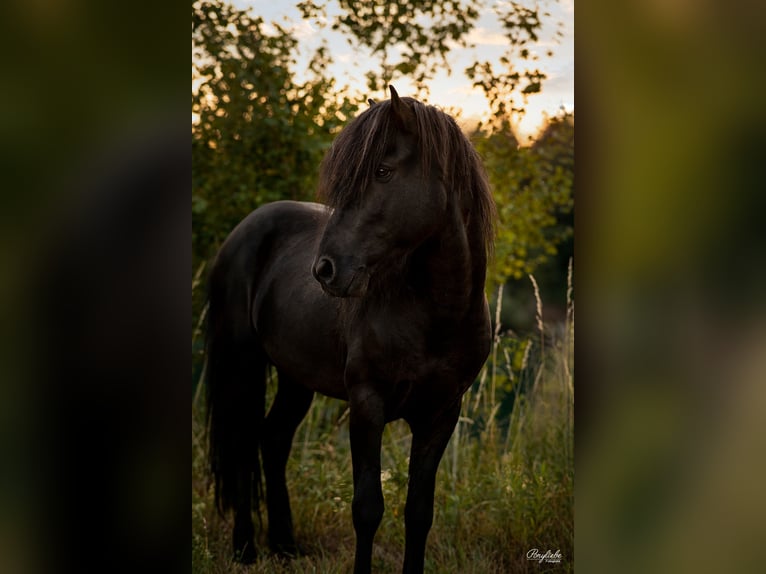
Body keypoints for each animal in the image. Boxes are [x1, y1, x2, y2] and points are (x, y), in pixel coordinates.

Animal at [205, 85, 496, 574]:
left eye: (383, 171)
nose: (324, 270)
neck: (436, 314)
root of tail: (243, 230)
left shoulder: (441, 412)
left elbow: (419, 511)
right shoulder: (367, 405)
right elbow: (367, 508)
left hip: (295, 378)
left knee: (273, 439)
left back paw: (284, 544)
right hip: (242, 366)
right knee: (243, 444)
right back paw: (245, 548)